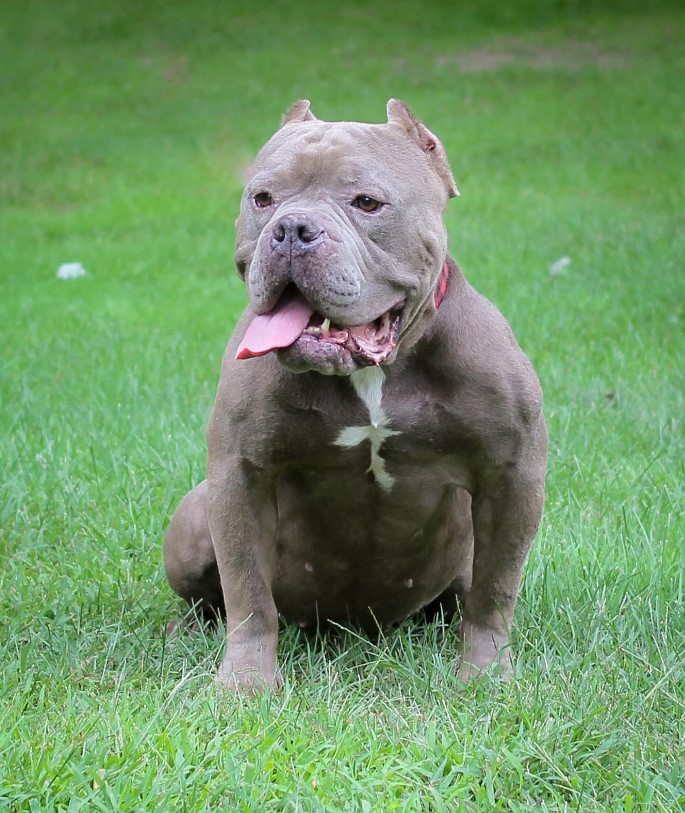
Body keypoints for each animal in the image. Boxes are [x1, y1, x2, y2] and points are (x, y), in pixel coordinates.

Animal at [163, 98, 548, 688]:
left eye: (367, 203)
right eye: (262, 198)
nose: (292, 228)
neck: (374, 373)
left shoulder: (513, 472)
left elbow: (495, 592)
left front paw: (486, 677)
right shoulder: (239, 474)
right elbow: (248, 594)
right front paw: (245, 685)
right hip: (191, 519)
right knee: (214, 599)